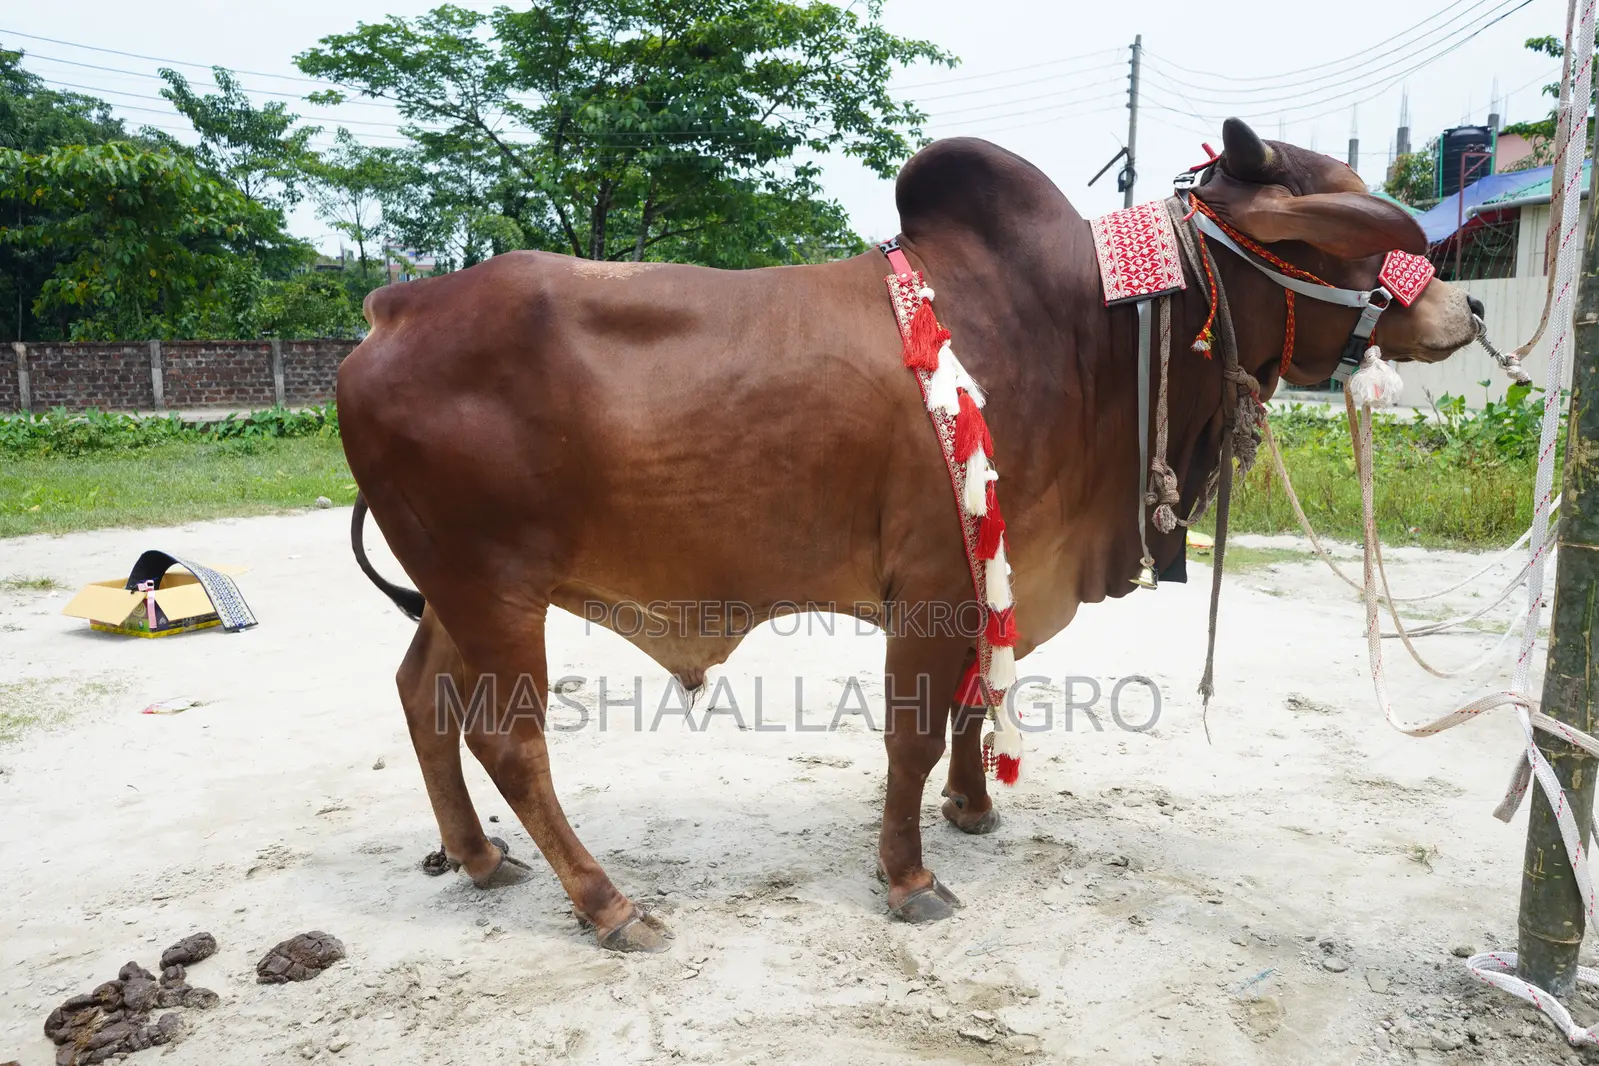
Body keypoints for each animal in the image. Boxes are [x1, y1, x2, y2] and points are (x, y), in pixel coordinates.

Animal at [338, 118, 1480, 952]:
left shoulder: (996, 568)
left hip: (462, 592)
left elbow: (980, 701)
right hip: (493, 588)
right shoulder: (933, 583)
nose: (1463, 308)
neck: (1088, 331)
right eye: (1341, 230)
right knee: (509, 737)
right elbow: (915, 731)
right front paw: (908, 876)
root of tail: (392, 308)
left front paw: (972, 811)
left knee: (420, 694)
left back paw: (479, 857)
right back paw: (607, 903)